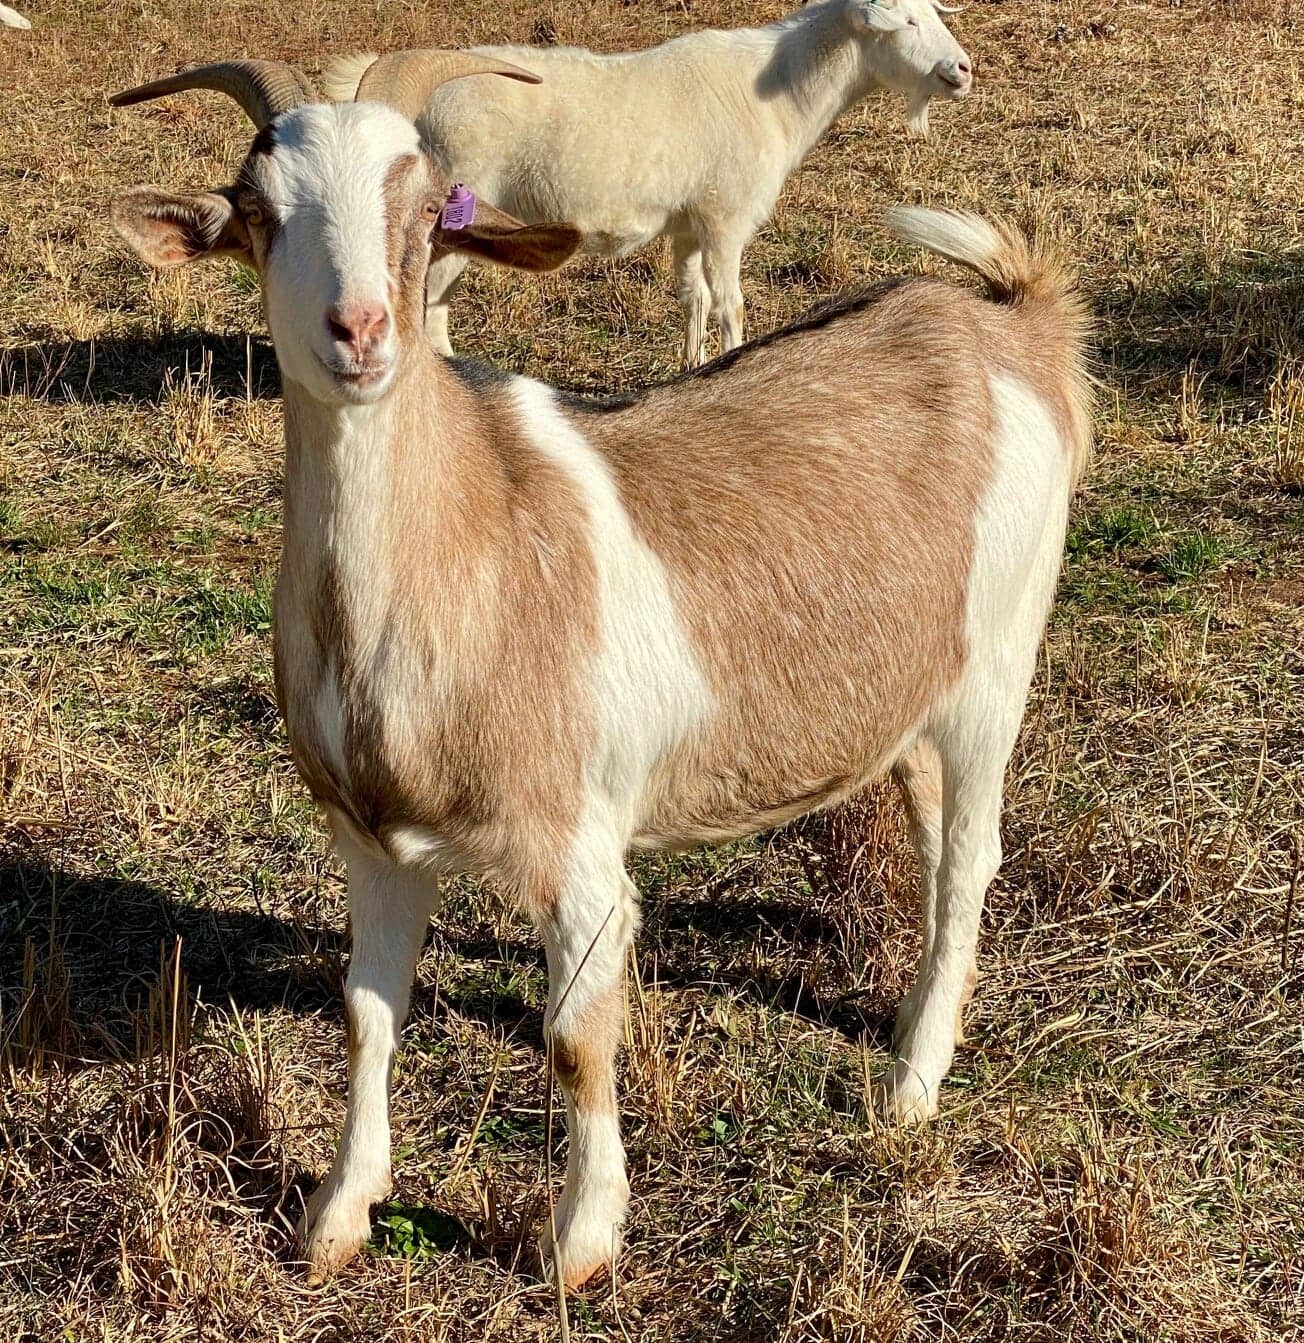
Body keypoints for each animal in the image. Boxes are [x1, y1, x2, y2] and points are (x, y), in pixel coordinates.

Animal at [110, 51, 1089, 1292]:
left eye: (429, 214)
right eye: (257, 212)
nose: (360, 330)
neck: (467, 542)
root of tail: (1007, 322)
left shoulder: (578, 844)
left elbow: (576, 1038)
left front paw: (579, 1241)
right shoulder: (368, 840)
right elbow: (368, 1012)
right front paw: (335, 1217)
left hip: (996, 665)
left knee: (969, 859)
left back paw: (910, 1082)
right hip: (908, 693)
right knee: (922, 831)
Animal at [323, 0, 973, 366]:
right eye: (906, 22)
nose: (963, 70)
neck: (777, 92)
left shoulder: (689, 222)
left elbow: (695, 297)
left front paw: (692, 364)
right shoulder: (725, 218)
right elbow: (731, 304)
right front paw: (731, 360)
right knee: (425, 298)